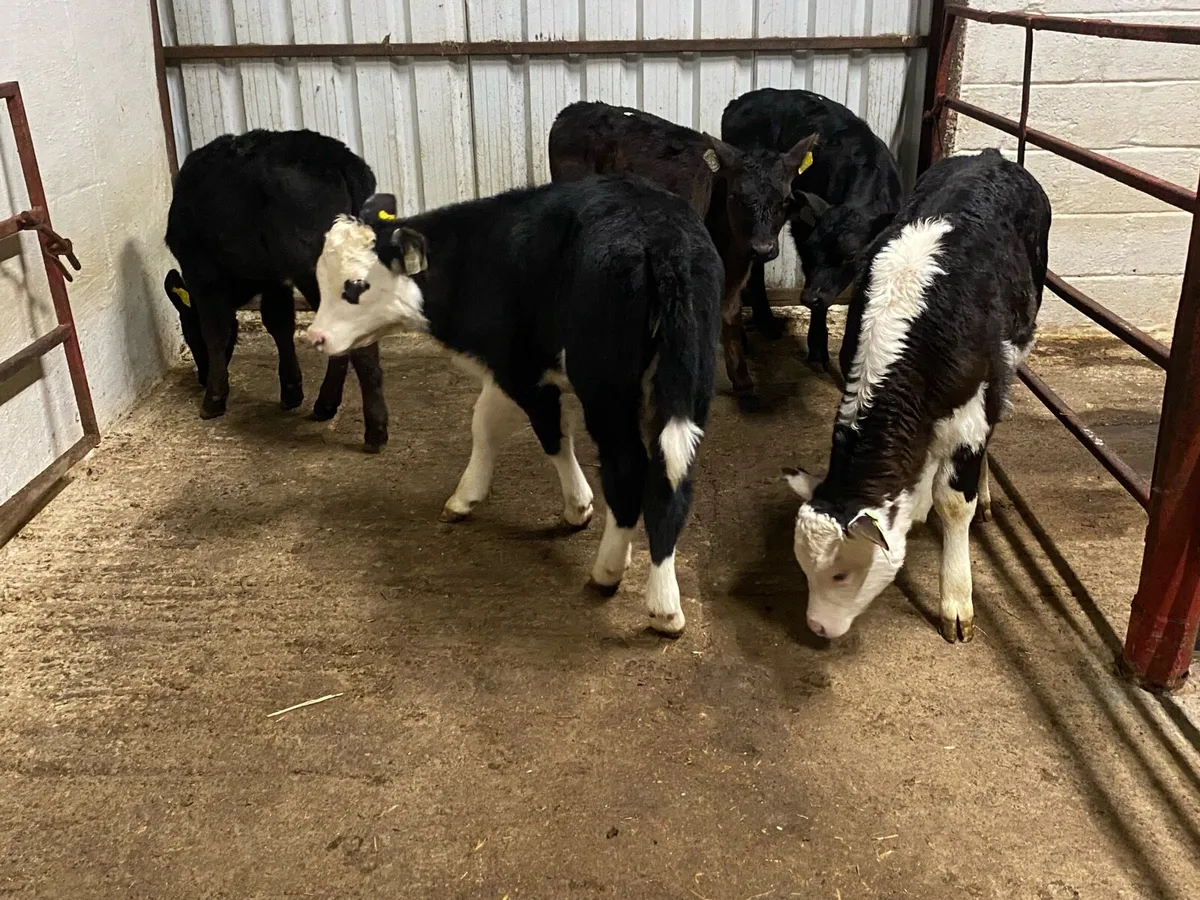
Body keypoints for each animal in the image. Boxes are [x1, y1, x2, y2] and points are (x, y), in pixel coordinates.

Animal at [164, 129, 389, 452]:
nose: (202, 377)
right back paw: (327, 405)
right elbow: (279, 323)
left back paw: (371, 429)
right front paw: (291, 389)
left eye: (188, 334)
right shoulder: (273, 278)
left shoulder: (203, 276)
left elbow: (216, 331)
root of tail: (338, 160)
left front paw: (214, 399)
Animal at [305, 176, 724, 635]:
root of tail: (661, 238)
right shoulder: (507, 371)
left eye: (354, 286)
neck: (479, 259)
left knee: (627, 470)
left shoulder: (520, 370)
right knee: (673, 478)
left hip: (606, 392)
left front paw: (576, 507)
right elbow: (487, 424)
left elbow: (544, 433)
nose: (315, 337)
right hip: (687, 386)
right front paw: (468, 496)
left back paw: (611, 574)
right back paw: (666, 604)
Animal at [548, 100, 817, 396]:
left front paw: (741, 378)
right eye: (736, 196)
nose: (762, 249)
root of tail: (577, 108)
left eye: (785, 201)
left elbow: (732, 313)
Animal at [722, 88, 903, 369]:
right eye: (811, 250)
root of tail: (743, 99)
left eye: (850, 256)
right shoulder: (803, 229)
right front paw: (818, 347)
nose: (809, 298)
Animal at [784, 150, 1051, 643]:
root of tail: (991, 155)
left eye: (840, 574)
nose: (816, 626)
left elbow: (956, 501)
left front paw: (957, 601)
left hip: (1016, 345)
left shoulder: (971, 411)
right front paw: (920, 500)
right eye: (804, 568)